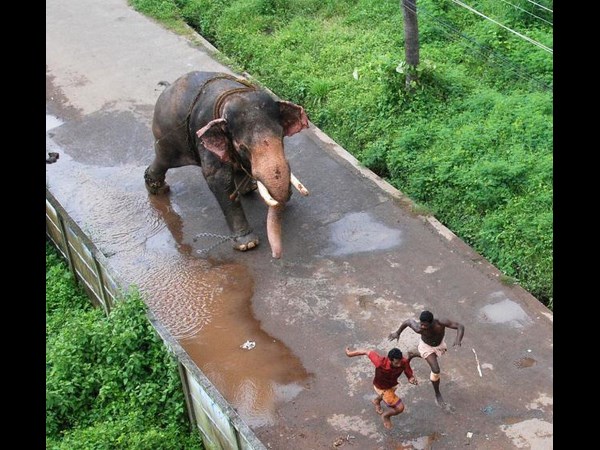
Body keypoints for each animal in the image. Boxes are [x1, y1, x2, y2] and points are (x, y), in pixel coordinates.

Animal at [142, 72, 310, 258]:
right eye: (242, 147)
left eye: (281, 137)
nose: (276, 255)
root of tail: (169, 86)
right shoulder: (206, 137)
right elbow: (218, 179)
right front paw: (248, 244)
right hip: (167, 134)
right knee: (164, 159)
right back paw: (158, 189)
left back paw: (248, 188)